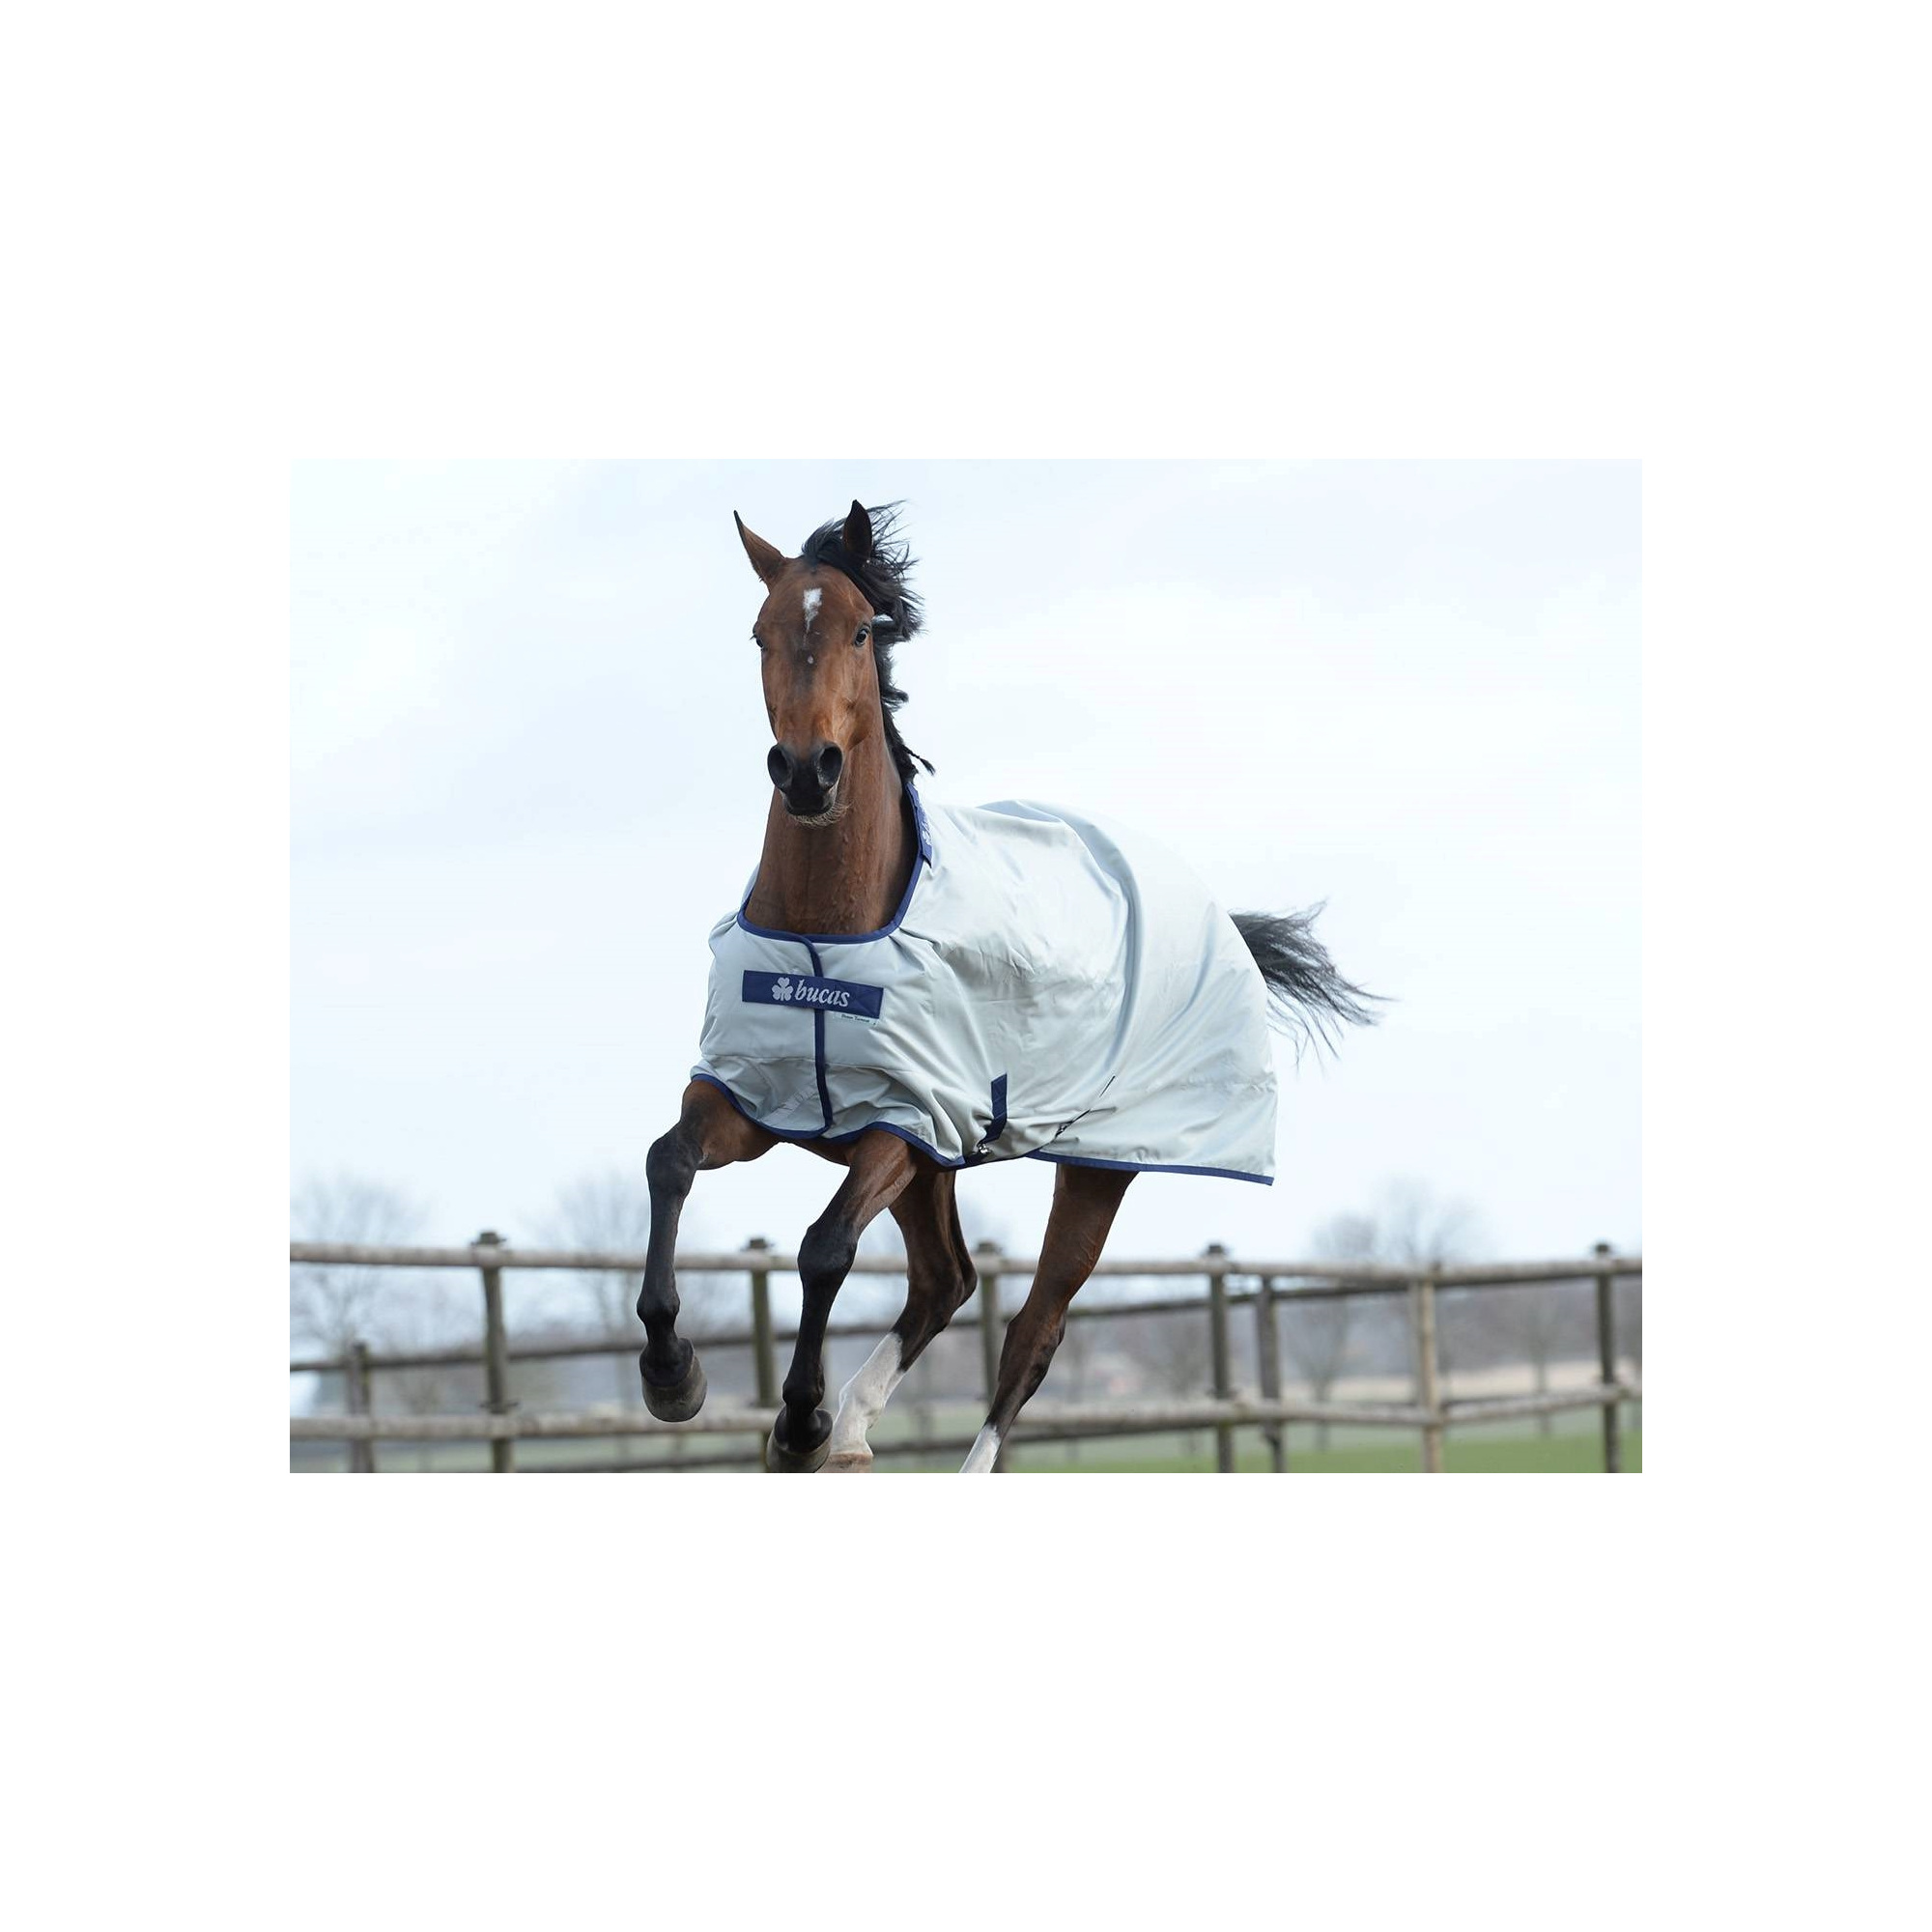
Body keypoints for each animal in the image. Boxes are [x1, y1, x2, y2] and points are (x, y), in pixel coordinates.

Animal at [636, 501, 1374, 1472]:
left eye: (863, 630)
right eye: (760, 632)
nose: (806, 771)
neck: (828, 935)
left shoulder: (902, 1125)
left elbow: (825, 1247)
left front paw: (798, 1424)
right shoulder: (758, 1099)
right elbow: (669, 1161)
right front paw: (672, 1372)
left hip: (1095, 1169)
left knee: (1030, 1331)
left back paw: (893, 1439)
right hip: (938, 1169)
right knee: (945, 1281)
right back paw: (857, 1427)